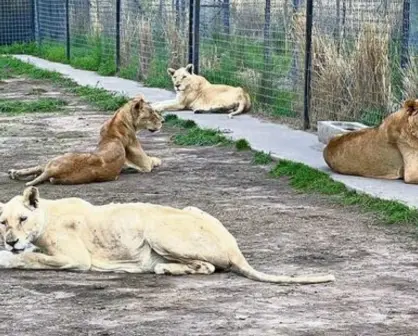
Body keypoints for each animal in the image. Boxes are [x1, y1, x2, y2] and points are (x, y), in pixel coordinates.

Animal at [0, 188, 336, 284]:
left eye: (23, 219)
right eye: (3, 222)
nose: (10, 240)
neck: (46, 214)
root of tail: (234, 247)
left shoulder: (76, 259)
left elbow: (30, 258)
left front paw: (7, 257)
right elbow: (31, 254)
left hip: (155, 228)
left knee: (208, 267)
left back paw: (162, 268)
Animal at [7, 94, 163, 186]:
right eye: (151, 113)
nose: (163, 121)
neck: (116, 121)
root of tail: (52, 170)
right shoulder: (144, 163)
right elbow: (154, 159)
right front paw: (158, 160)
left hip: (53, 166)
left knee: (38, 169)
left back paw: (14, 173)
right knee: (39, 167)